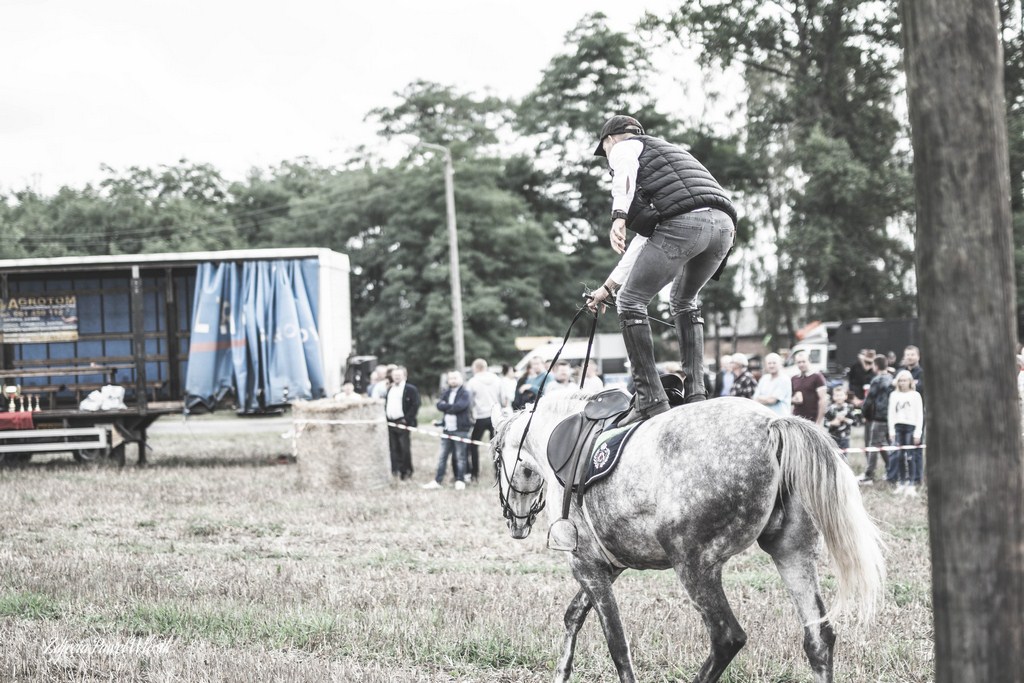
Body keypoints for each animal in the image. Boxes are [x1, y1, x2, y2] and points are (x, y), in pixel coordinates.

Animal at [491, 393, 884, 679]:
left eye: (497, 461)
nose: (516, 521)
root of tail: (771, 424)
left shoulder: (586, 565)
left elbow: (616, 643)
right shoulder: (608, 566)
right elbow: (574, 615)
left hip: (694, 565)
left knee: (726, 638)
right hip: (792, 553)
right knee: (818, 637)